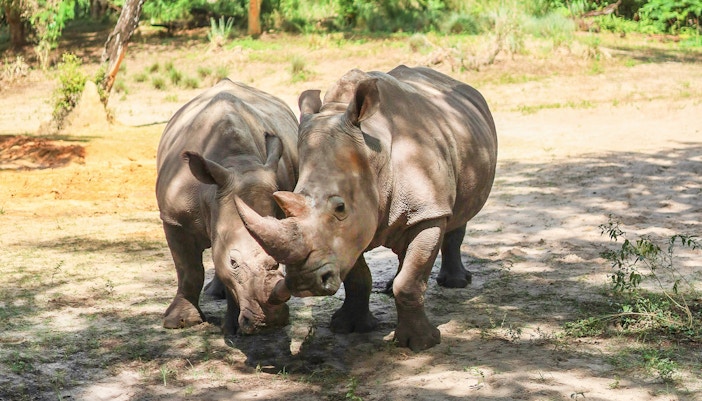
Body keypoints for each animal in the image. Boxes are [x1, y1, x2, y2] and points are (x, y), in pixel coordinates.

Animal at [156, 79, 298, 335]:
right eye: (234, 262)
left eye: (277, 262)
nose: (270, 322)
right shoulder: (173, 219)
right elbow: (188, 270)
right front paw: (179, 322)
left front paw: (234, 330)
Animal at [235, 65, 498, 350]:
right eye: (285, 203)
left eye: (340, 207)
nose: (304, 283)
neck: (375, 156)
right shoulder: (353, 229)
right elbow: (358, 277)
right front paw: (348, 327)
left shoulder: (428, 212)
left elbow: (411, 280)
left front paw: (420, 344)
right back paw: (391, 286)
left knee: (458, 216)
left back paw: (455, 283)